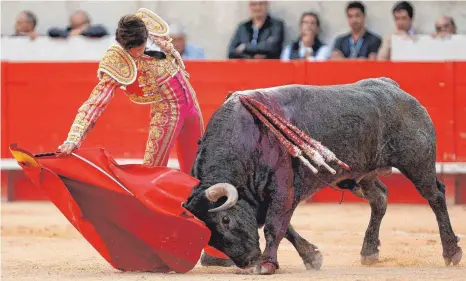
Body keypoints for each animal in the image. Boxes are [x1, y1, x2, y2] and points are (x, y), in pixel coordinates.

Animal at [183, 77, 462, 274]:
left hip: (417, 162)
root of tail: (393, 87)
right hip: (362, 174)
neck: (246, 139)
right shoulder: (264, 197)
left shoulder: (282, 188)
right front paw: (312, 257)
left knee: (435, 196)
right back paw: (369, 251)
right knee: (380, 198)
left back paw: (451, 252)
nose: (248, 260)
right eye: (207, 232)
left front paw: (268, 264)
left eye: (225, 221)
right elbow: (286, 227)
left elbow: (275, 225)